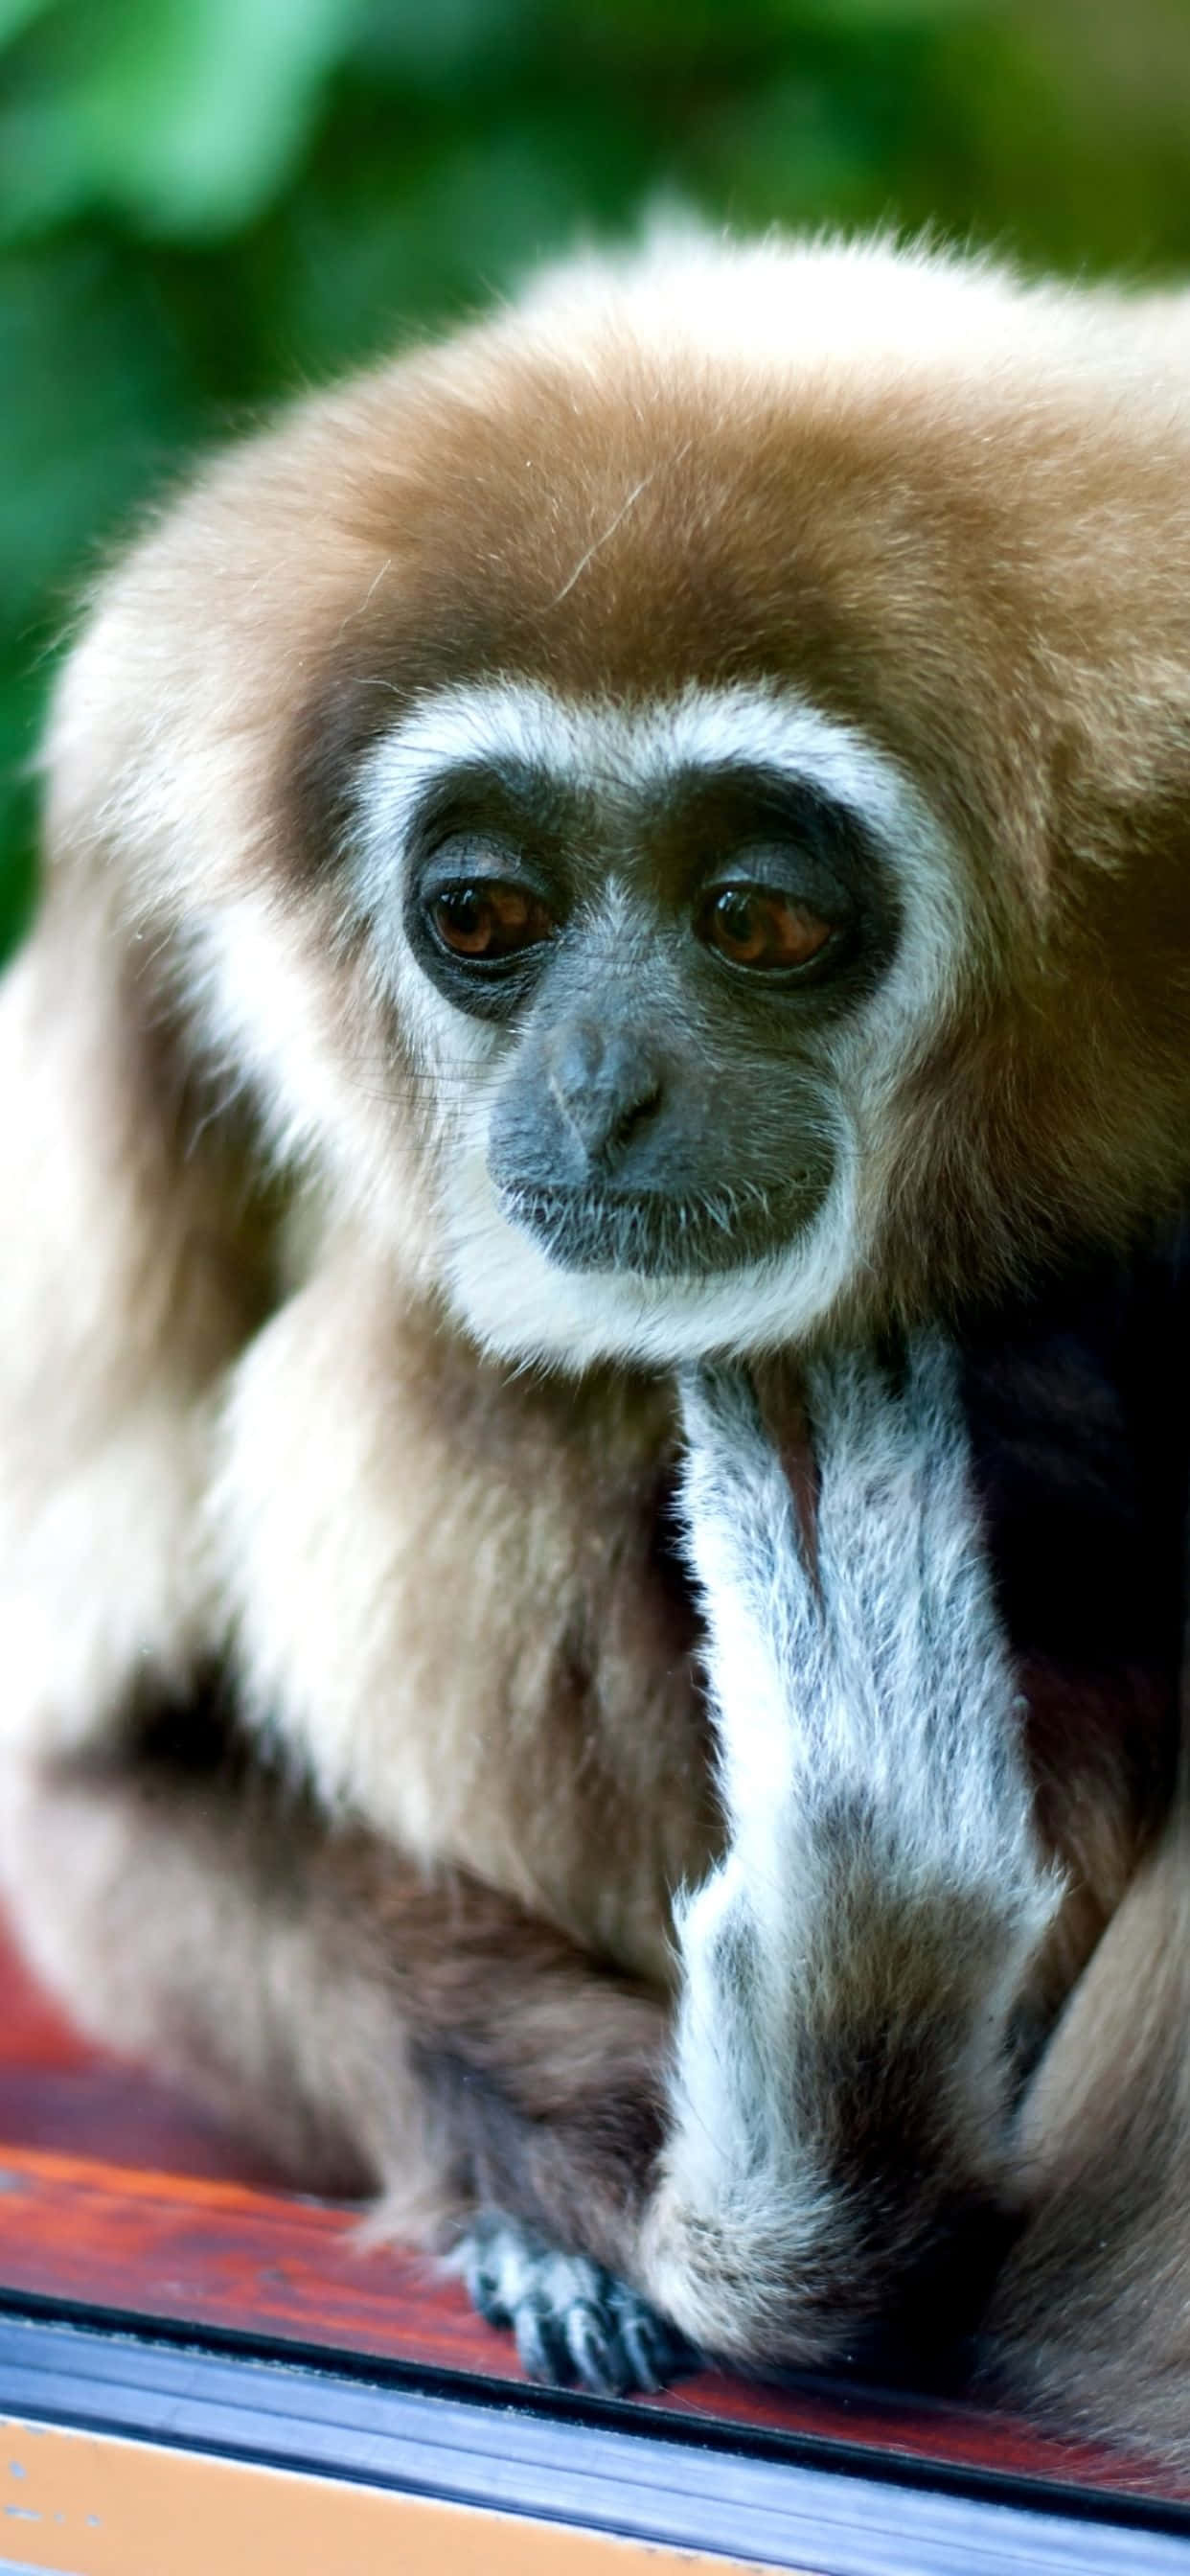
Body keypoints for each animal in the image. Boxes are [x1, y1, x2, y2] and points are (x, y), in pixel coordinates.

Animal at [4, 227, 1190, 2448]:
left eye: (759, 918)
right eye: (483, 914)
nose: (606, 1085)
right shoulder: (132, 880)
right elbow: (105, 1756)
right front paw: (757, 2181)